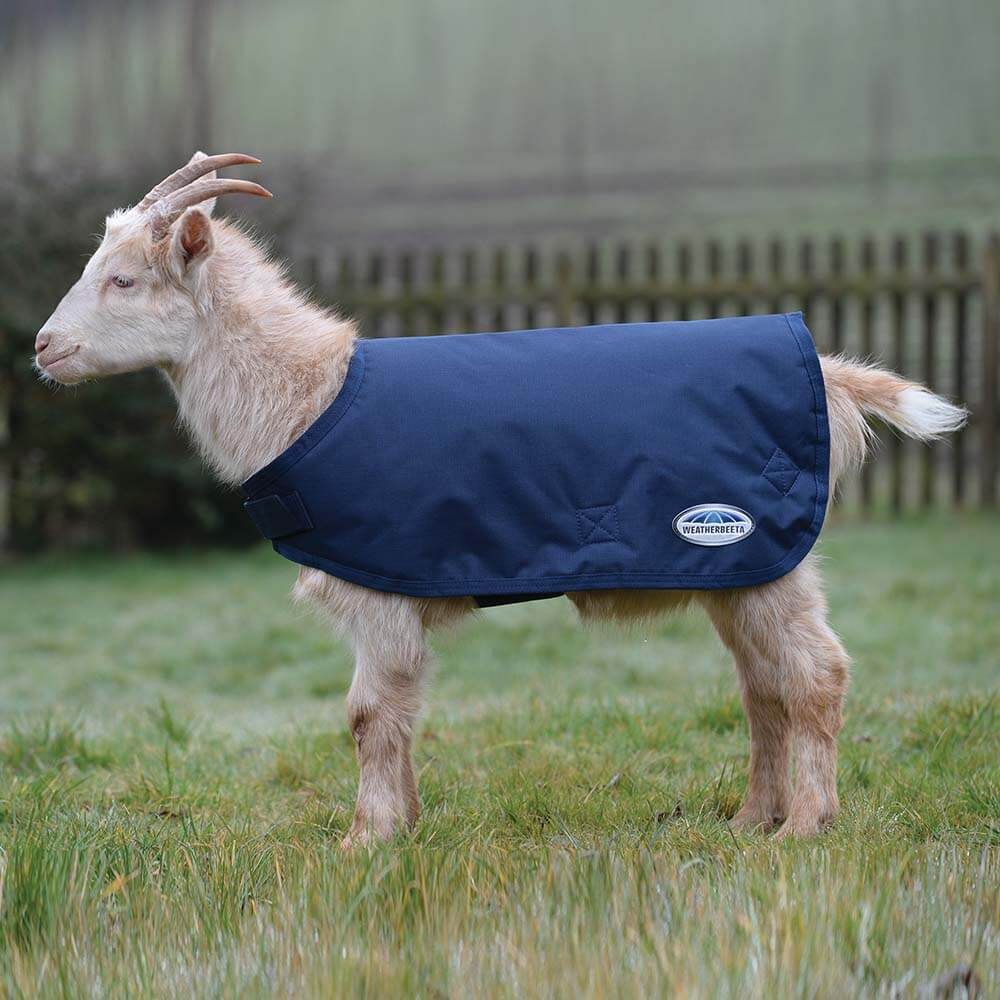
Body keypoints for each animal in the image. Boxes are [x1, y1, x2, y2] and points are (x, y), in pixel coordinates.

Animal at [34, 153, 967, 846]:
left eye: (123, 280)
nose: (43, 346)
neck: (309, 397)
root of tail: (829, 373)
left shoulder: (377, 588)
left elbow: (368, 715)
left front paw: (362, 841)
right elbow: (402, 712)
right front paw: (404, 826)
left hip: (764, 554)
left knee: (814, 675)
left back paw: (804, 828)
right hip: (741, 568)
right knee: (761, 688)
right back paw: (747, 821)